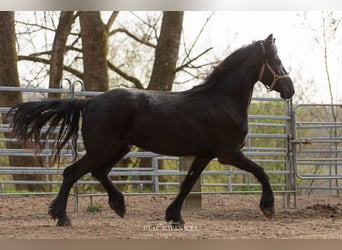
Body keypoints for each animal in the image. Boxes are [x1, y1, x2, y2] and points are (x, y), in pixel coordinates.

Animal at [6, 34, 294, 228]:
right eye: (277, 60)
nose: (289, 89)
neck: (222, 101)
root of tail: (89, 102)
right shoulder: (228, 153)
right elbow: (261, 171)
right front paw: (268, 207)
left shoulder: (205, 154)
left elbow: (188, 184)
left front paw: (174, 217)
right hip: (103, 149)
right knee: (72, 172)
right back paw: (62, 216)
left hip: (119, 148)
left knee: (98, 172)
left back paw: (118, 206)